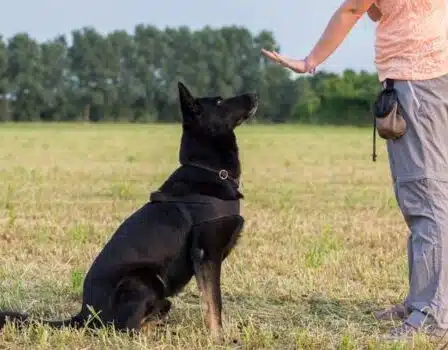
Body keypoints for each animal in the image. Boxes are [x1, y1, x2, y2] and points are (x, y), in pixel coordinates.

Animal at [0, 81, 260, 342]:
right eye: (219, 101)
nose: (254, 94)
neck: (209, 169)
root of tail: (85, 314)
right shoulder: (207, 256)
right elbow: (214, 303)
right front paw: (218, 338)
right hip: (143, 280)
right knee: (126, 328)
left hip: (159, 294)